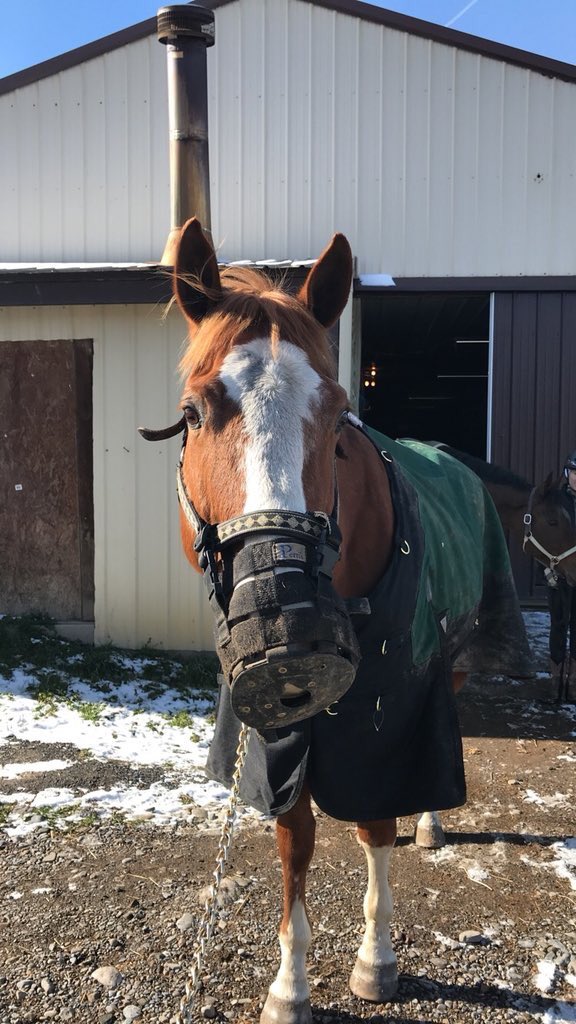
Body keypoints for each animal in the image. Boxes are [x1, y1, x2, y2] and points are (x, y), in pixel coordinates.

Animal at [140, 219, 532, 1023]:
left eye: (337, 416)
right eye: (194, 412)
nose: (286, 625)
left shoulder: (389, 720)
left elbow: (376, 822)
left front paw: (374, 961)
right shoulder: (278, 734)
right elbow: (295, 839)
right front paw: (289, 985)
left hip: (452, 661)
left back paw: (430, 824)